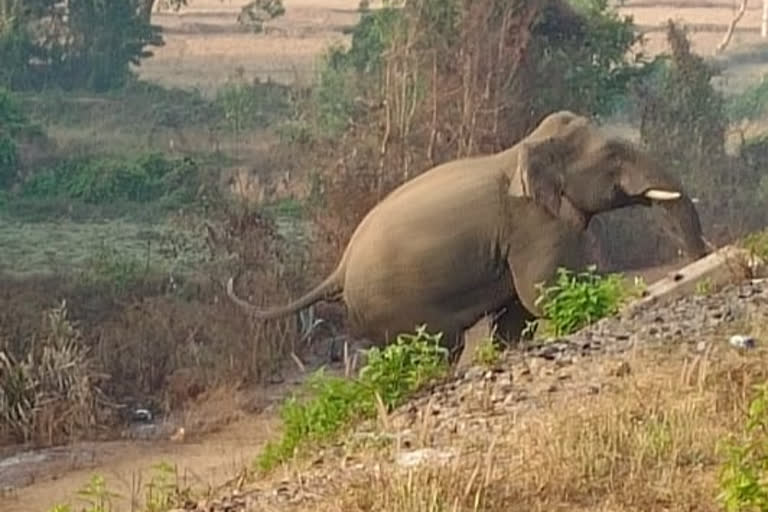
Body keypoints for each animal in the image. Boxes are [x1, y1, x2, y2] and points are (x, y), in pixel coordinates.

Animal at [225, 110, 712, 362]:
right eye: (612, 154)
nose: (693, 264)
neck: (522, 148)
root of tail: (339, 269)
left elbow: (518, 310)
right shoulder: (532, 222)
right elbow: (542, 292)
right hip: (399, 306)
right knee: (437, 347)